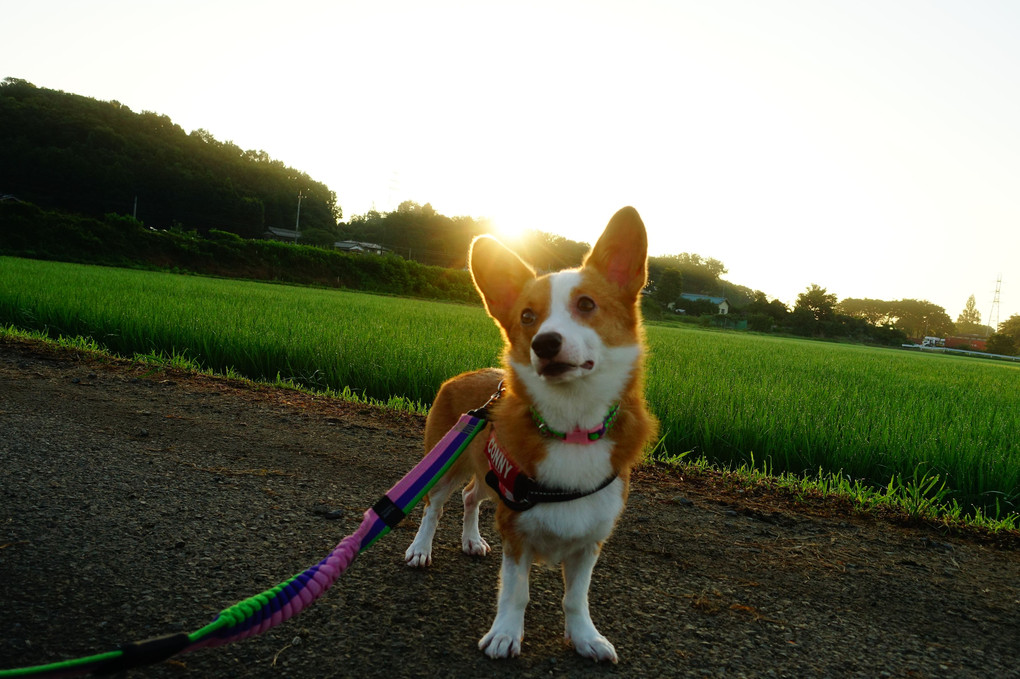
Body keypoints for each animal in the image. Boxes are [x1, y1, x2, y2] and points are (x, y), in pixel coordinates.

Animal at [403, 205, 652, 660]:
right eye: (526, 316)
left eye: (587, 304)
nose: (545, 343)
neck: (571, 427)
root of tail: (462, 375)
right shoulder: (515, 531)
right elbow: (515, 592)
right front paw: (505, 634)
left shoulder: (590, 539)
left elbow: (576, 598)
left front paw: (585, 638)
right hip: (447, 463)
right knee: (435, 505)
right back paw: (420, 549)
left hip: (489, 477)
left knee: (471, 498)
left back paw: (472, 540)